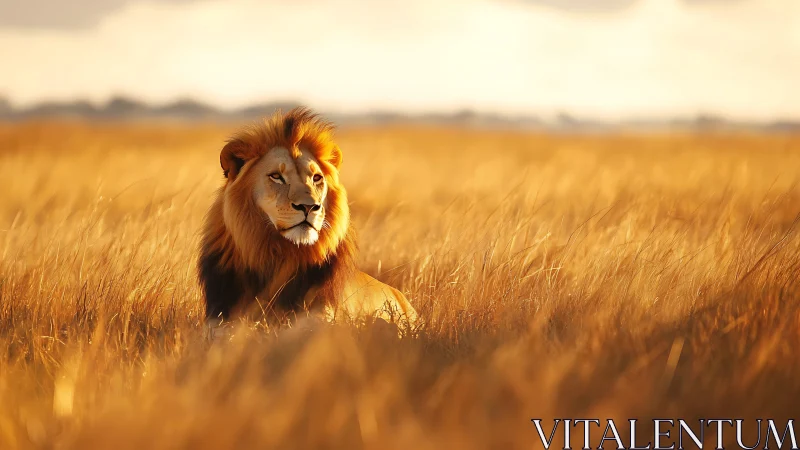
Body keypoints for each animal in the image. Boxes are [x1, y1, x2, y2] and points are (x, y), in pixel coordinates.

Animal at [197, 107, 418, 332]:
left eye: (316, 178)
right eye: (276, 176)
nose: (309, 207)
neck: (279, 255)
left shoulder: (322, 317)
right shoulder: (218, 320)